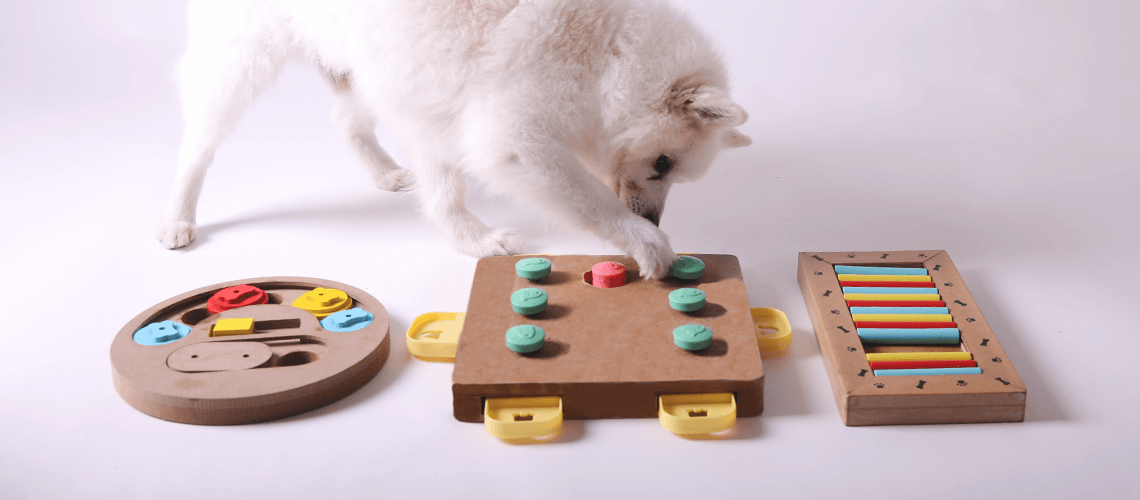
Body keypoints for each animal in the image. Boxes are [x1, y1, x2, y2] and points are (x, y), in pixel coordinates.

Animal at [158, 0, 747, 277]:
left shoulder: (437, 107)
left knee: (346, 122)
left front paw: (470, 240)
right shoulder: (513, 137)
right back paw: (177, 218)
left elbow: (443, 195)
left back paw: (384, 172)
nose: (655, 219)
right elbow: (592, 201)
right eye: (663, 163)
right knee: (197, 144)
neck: (610, 55)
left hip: (373, 71)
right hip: (240, 62)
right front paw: (644, 242)